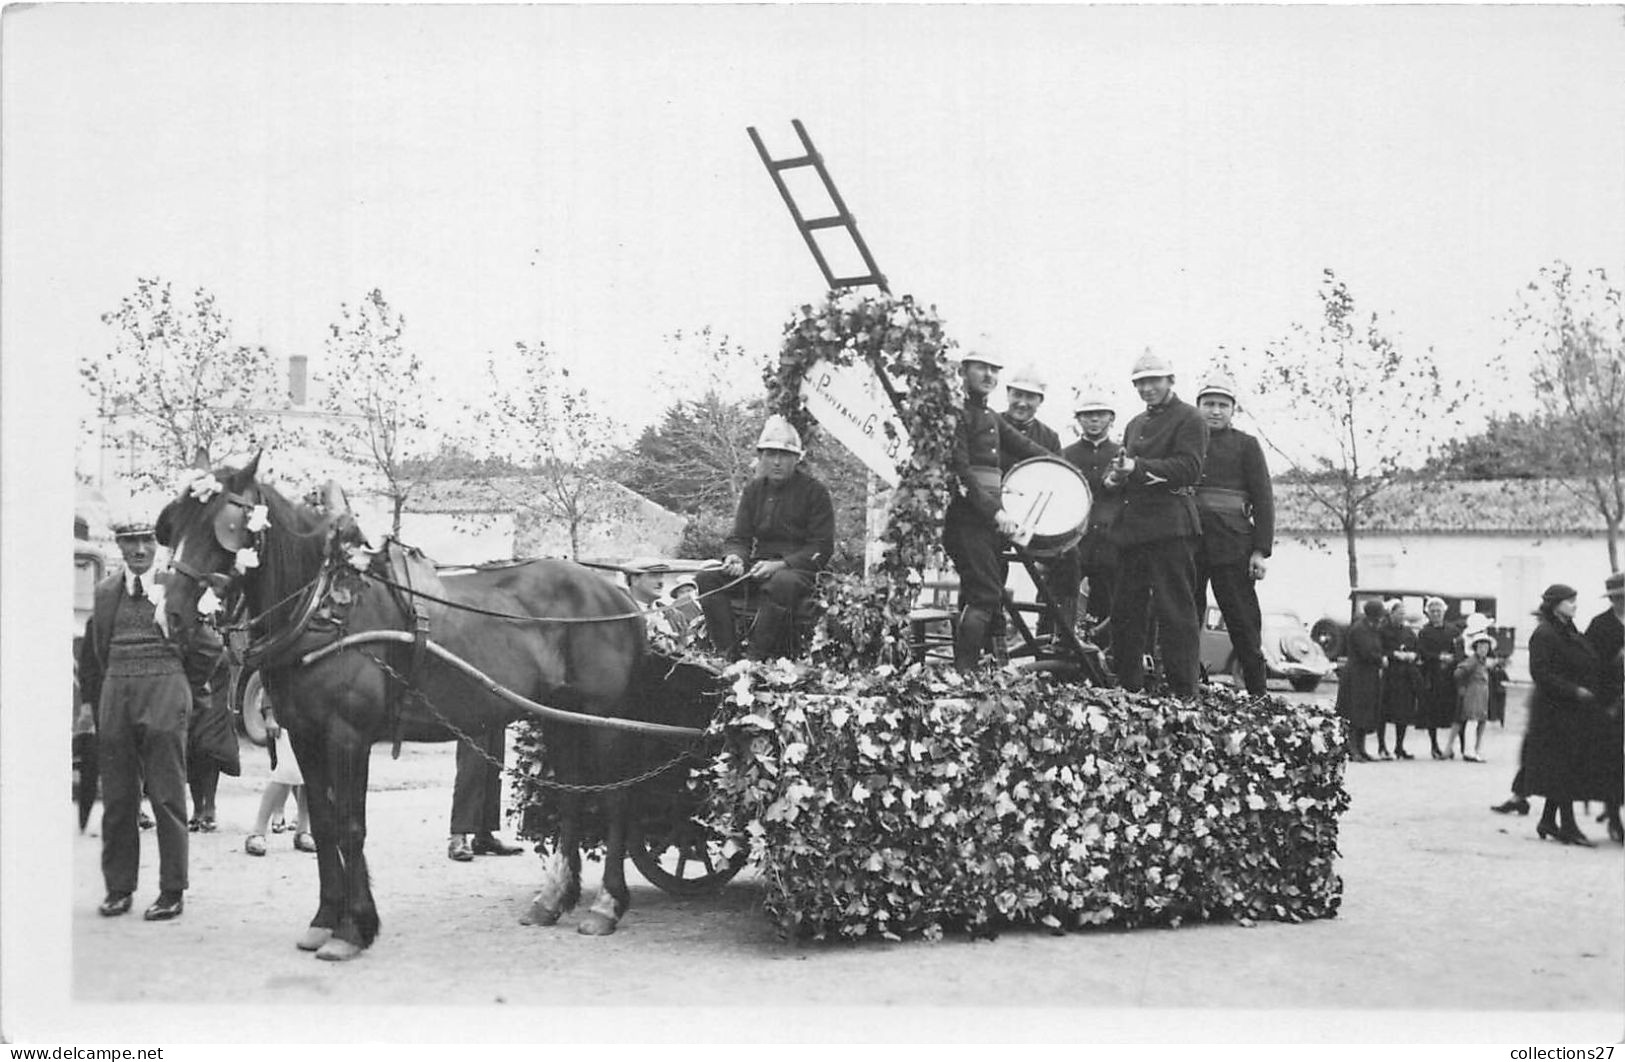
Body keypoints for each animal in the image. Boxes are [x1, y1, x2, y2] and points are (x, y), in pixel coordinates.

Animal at [155, 457, 656, 967]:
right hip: (561, 717)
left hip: (605, 719)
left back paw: (607, 904)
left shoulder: (348, 736)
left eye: (225, 527)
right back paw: (554, 898)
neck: (325, 610)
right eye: (173, 524)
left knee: (616, 799)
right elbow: (326, 824)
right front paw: (325, 919)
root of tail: (621, 599)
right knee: (574, 793)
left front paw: (354, 928)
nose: (169, 614)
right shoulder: (304, 735)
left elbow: (351, 826)